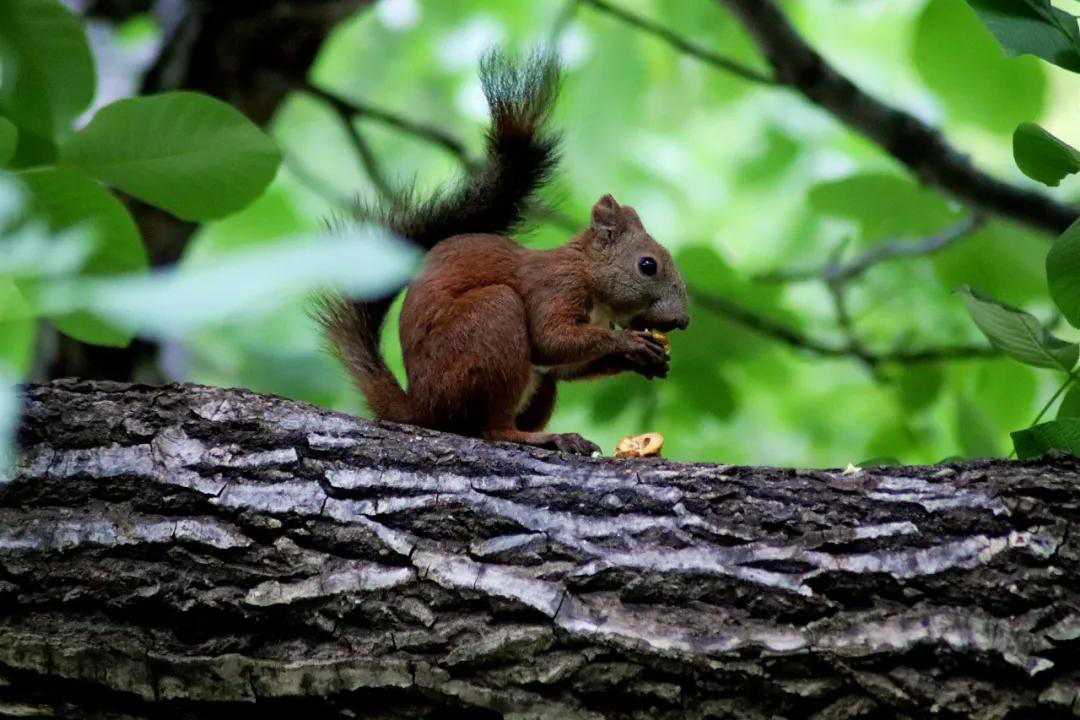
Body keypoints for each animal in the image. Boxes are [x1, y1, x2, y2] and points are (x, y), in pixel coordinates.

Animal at [319, 52, 691, 455]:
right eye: (647, 265)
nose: (683, 321)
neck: (589, 276)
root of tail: (421, 408)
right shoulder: (554, 287)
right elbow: (551, 338)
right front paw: (629, 343)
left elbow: (564, 365)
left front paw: (644, 359)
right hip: (490, 324)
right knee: (493, 428)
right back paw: (543, 437)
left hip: (536, 386)